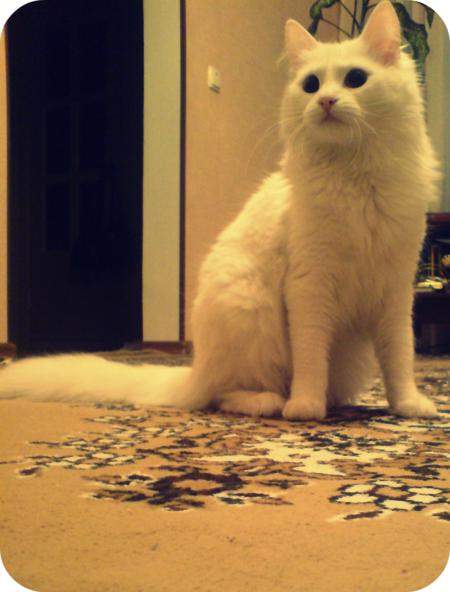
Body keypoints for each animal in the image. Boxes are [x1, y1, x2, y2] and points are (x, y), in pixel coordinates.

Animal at [0, 1, 441, 421]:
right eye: (311, 84)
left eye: (355, 79)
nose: (326, 101)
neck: (357, 178)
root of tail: (196, 370)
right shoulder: (310, 285)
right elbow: (311, 358)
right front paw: (306, 408)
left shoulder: (396, 288)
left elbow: (400, 359)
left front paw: (408, 406)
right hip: (250, 312)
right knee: (225, 395)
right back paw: (274, 403)